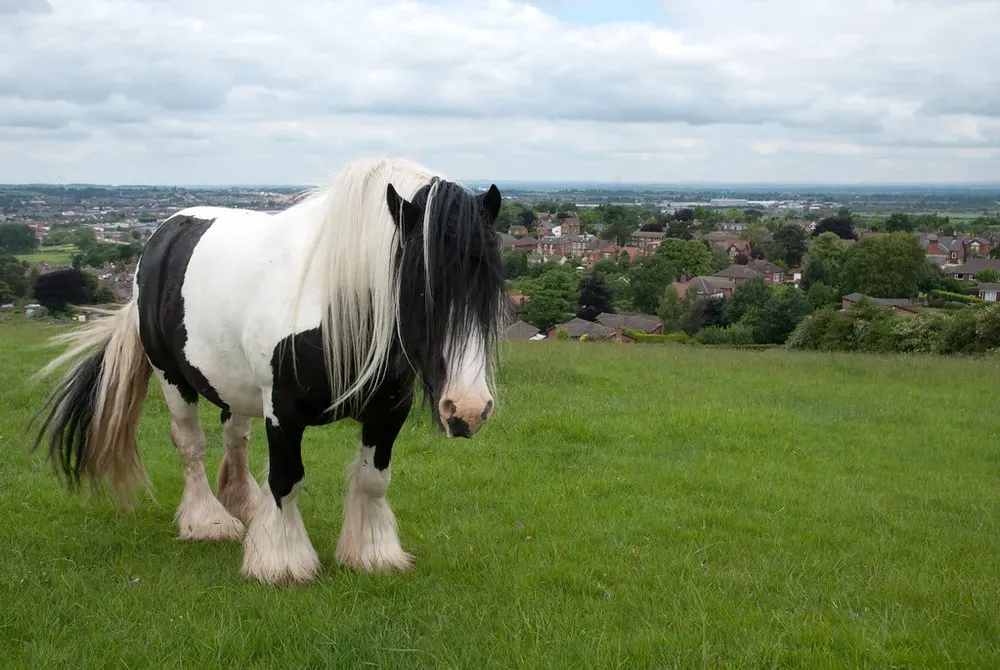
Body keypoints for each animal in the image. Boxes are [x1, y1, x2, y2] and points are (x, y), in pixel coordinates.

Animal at [31, 155, 508, 584]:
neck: (334, 306)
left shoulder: (389, 409)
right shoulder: (283, 412)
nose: (468, 410)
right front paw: (282, 562)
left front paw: (372, 553)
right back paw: (207, 521)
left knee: (234, 437)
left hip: (232, 385)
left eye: (488, 287)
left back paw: (243, 503)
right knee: (191, 446)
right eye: (421, 289)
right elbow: (285, 480)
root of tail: (162, 236)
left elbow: (374, 479)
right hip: (172, 378)